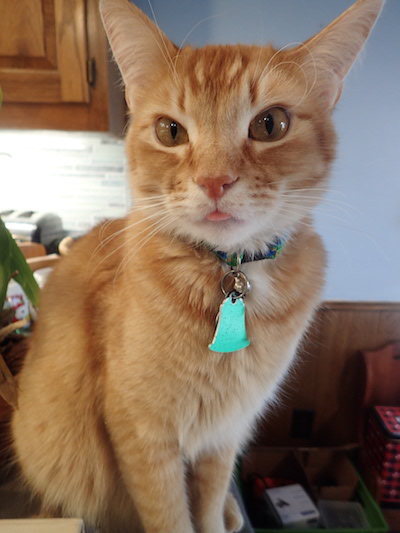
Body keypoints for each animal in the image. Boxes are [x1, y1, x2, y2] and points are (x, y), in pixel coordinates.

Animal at [11, 0, 384, 532]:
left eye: (270, 125)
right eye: (170, 131)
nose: (214, 181)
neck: (231, 277)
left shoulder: (225, 434)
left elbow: (206, 505)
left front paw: (216, 514)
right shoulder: (144, 438)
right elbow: (170, 515)